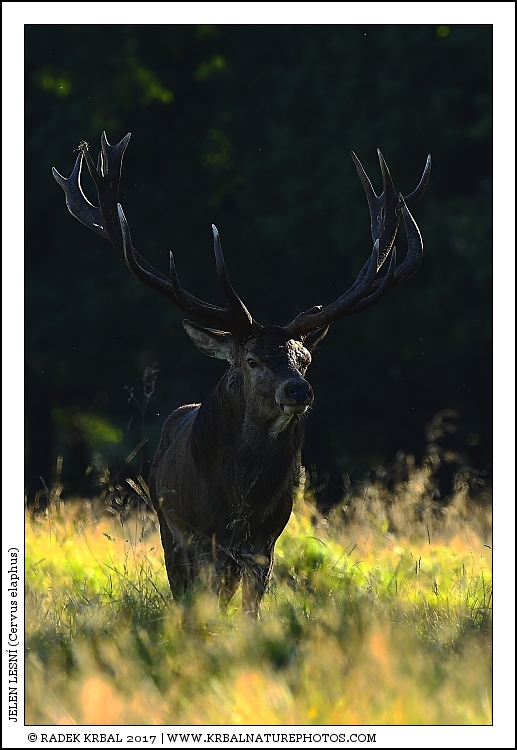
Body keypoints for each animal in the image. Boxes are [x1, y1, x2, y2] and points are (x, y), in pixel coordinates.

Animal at [53, 133, 430, 617]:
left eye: (305, 358)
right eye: (251, 360)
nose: (299, 389)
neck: (239, 499)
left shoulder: (263, 543)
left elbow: (251, 611)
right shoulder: (195, 536)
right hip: (168, 530)